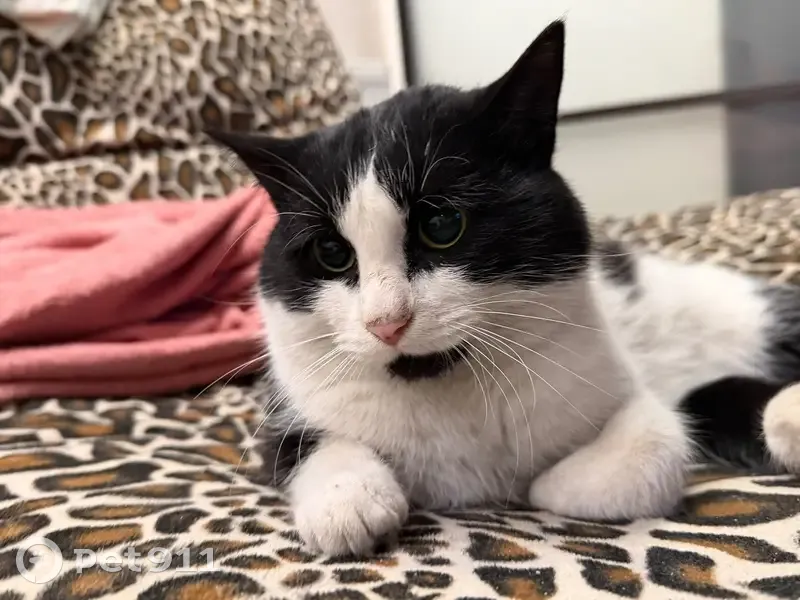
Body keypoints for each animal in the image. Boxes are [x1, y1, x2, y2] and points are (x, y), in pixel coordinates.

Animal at [209, 20, 800, 556]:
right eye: (332, 254)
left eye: (442, 225)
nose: (386, 322)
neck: (449, 396)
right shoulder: (289, 406)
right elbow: (303, 448)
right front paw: (349, 502)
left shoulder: (623, 389)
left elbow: (653, 449)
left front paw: (544, 485)